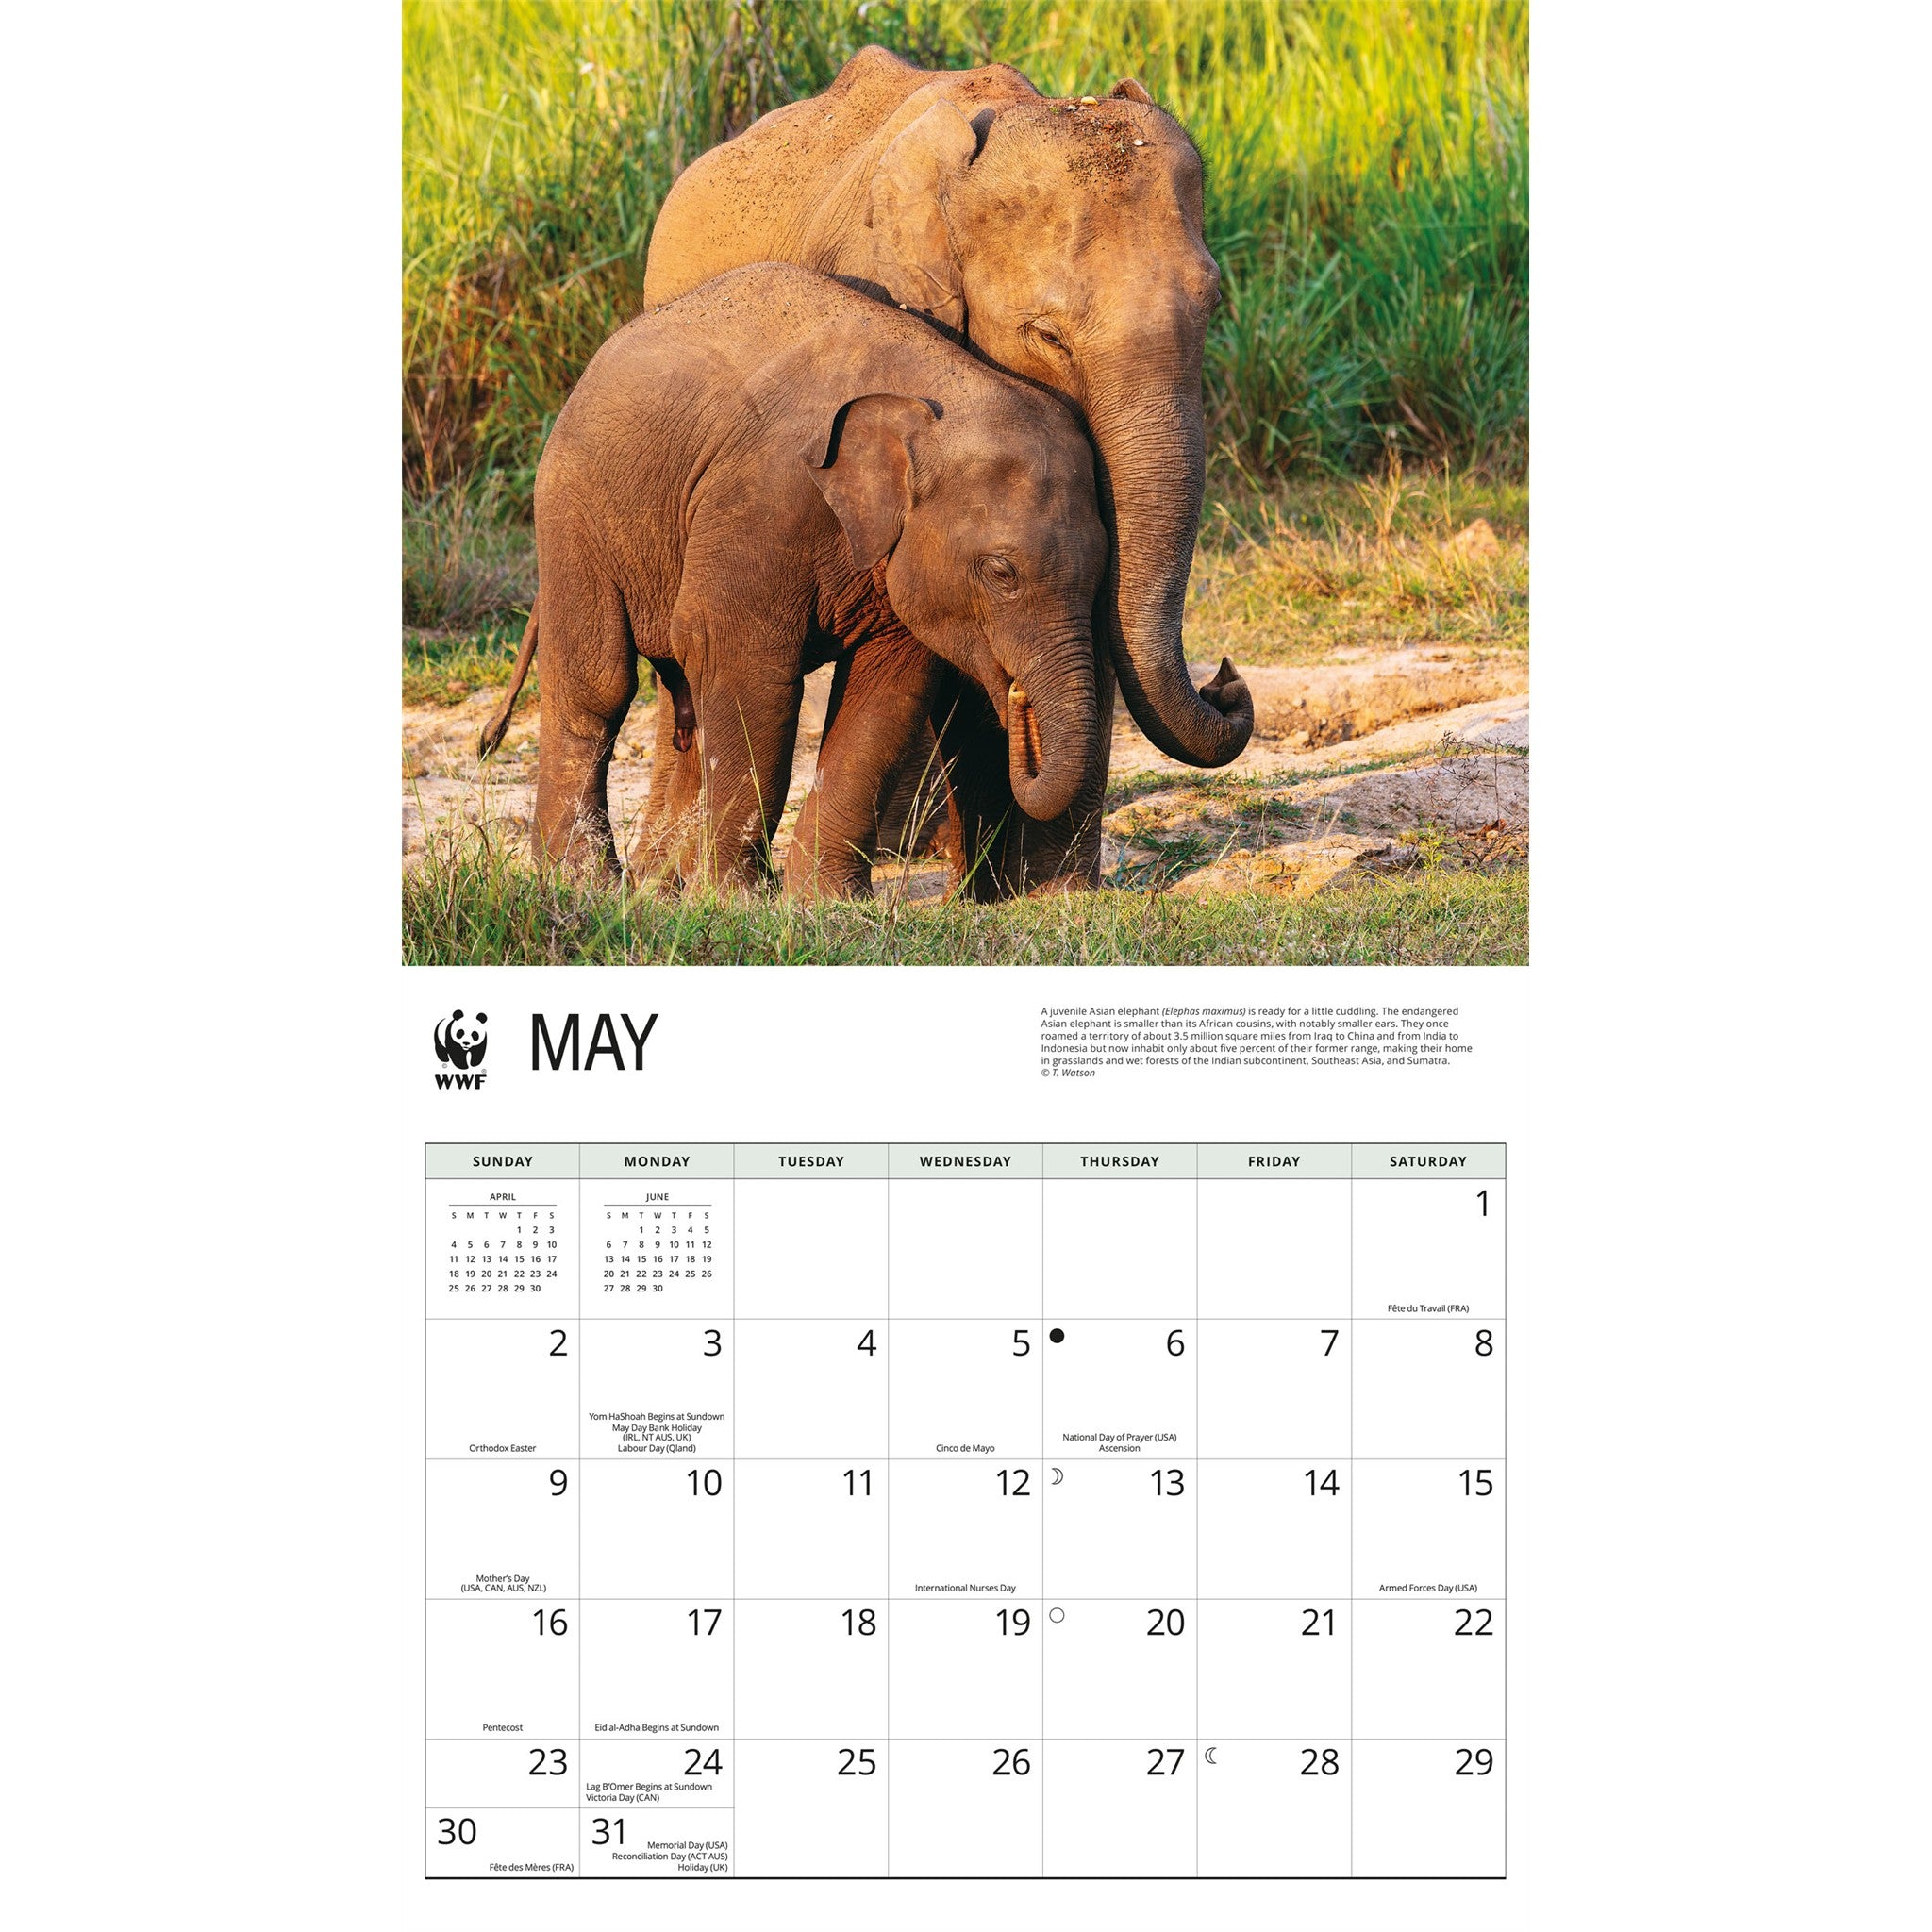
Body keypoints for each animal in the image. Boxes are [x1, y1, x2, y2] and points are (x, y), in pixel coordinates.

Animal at [476, 264, 1106, 897]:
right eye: (1002, 572)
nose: (1018, 699)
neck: (940, 391)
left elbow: (889, 691)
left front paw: (822, 900)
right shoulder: (763, 500)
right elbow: (740, 659)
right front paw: (736, 898)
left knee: (687, 704)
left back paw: (664, 886)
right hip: (572, 509)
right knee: (601, 683)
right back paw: (583, 882)